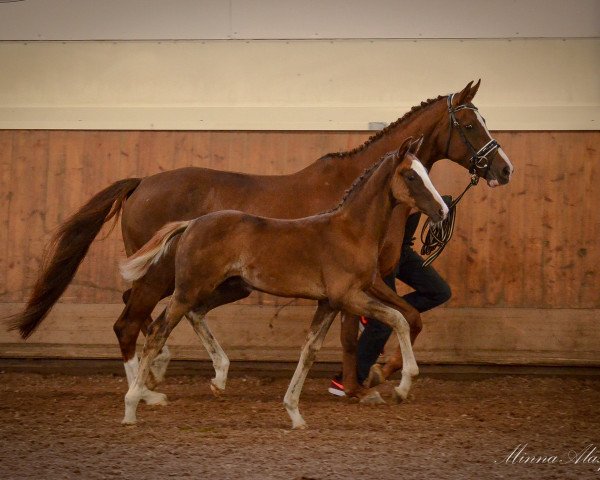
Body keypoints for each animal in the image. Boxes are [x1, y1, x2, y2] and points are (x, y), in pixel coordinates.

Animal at [120, 137, 446, 430]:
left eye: (426, 172)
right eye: (411, 175)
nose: (442, 210)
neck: (351, 232)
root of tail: (191, 224)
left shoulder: (330, 302)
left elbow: (310, 350)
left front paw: (294, 413)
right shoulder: (349, 297)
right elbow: (399, 318)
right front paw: (403, 386)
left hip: (229, 287)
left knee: (192, 315)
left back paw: (218, 377)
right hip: (188, 289)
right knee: (156, 332)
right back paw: (133, 405)